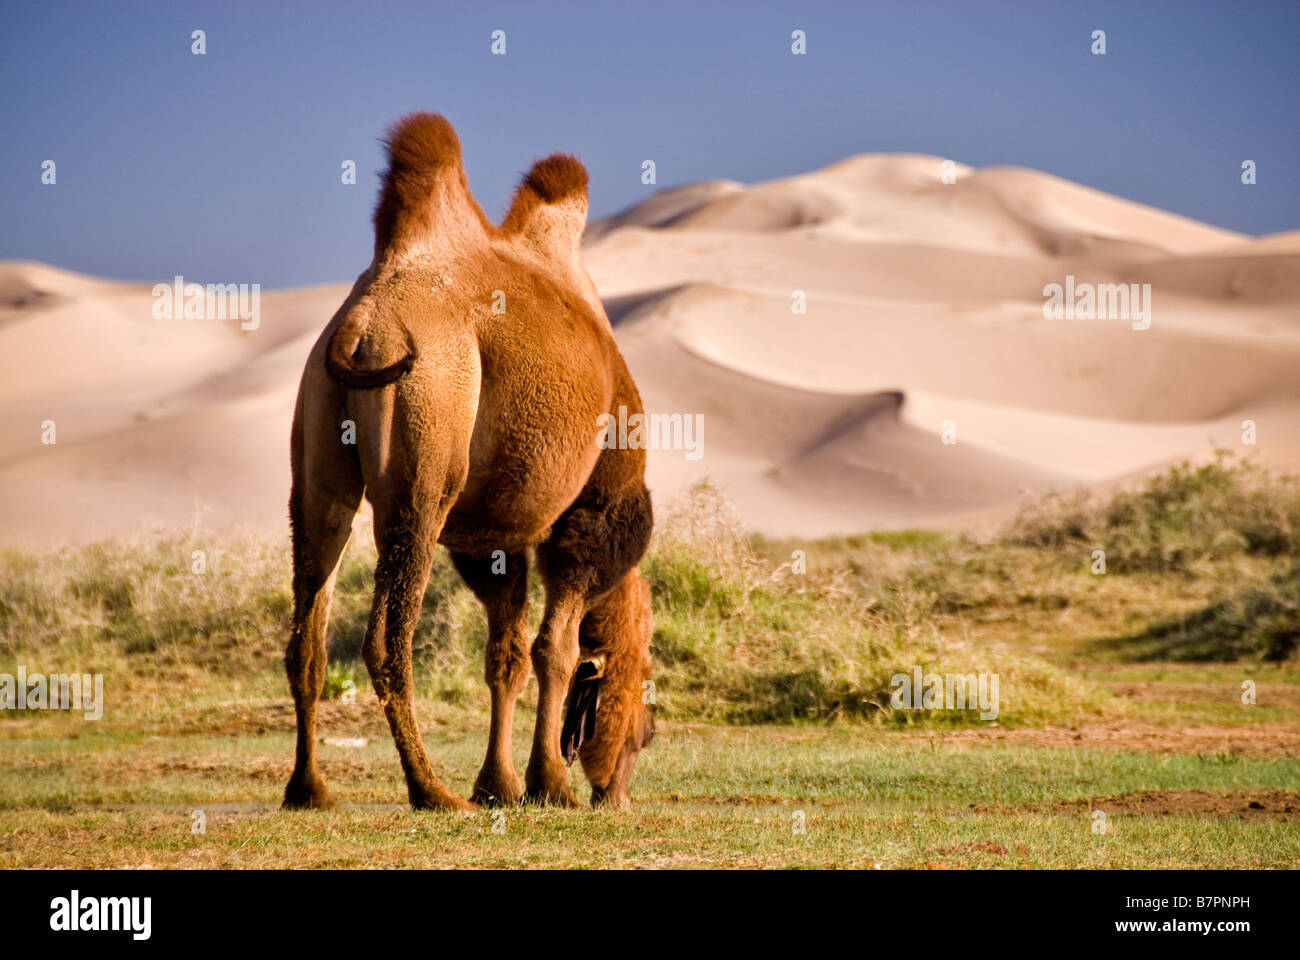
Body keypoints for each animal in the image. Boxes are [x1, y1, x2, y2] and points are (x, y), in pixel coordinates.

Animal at [283, 113, 655, 811]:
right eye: (646, 725)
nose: (616, 794)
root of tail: (364, 323)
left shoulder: (494, 537)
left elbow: (505, 656)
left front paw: (499, 785)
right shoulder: (590, 513)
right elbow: (555, 649)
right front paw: (549, 784)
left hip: (317, 456)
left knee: (306, 639)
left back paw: (309, 788)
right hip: (427, 445)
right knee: (387, 640)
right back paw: (430, 790)